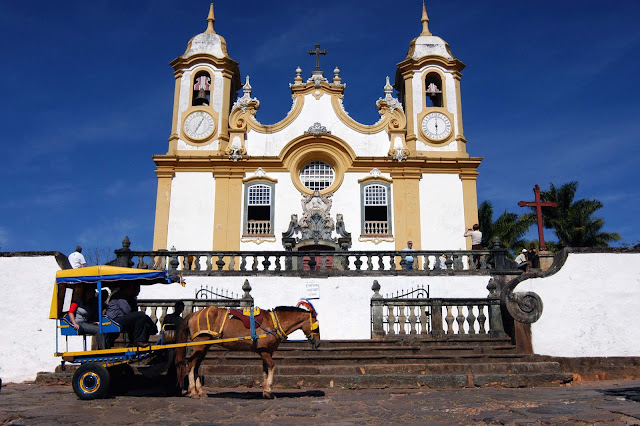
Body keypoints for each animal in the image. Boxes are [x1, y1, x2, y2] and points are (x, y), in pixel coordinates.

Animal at [174, 302, 320, 398]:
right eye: (316, 325)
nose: (318, 343)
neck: (274, 322)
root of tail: (194, 313)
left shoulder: (267, 351)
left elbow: (266, 369)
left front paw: (265, 390)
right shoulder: (263, 350)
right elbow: (272, 365)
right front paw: (268, 390)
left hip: (205, 345)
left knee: (196, 365)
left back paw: (200, 391)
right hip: (200, 343)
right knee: (191, 364)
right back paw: (193, 391)